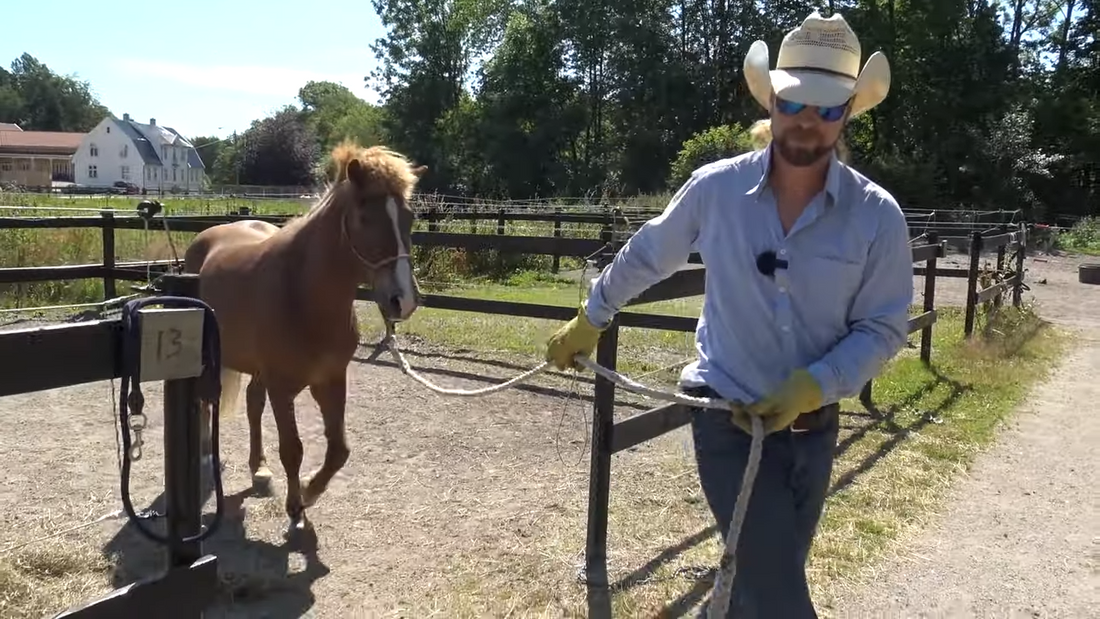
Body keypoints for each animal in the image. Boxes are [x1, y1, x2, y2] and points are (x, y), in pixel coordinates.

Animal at [184, 140, 424, 532]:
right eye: (365, 217)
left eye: (409, 217)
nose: (402, 300)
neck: (302, 294)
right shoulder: (283, 388)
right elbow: (293, 449)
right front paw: (296, 506)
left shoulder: (330, 380)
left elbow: (339, 450)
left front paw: (310, 492)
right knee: (207, 400)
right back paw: (206, 456)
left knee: (252, 403)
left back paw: (260, 470)